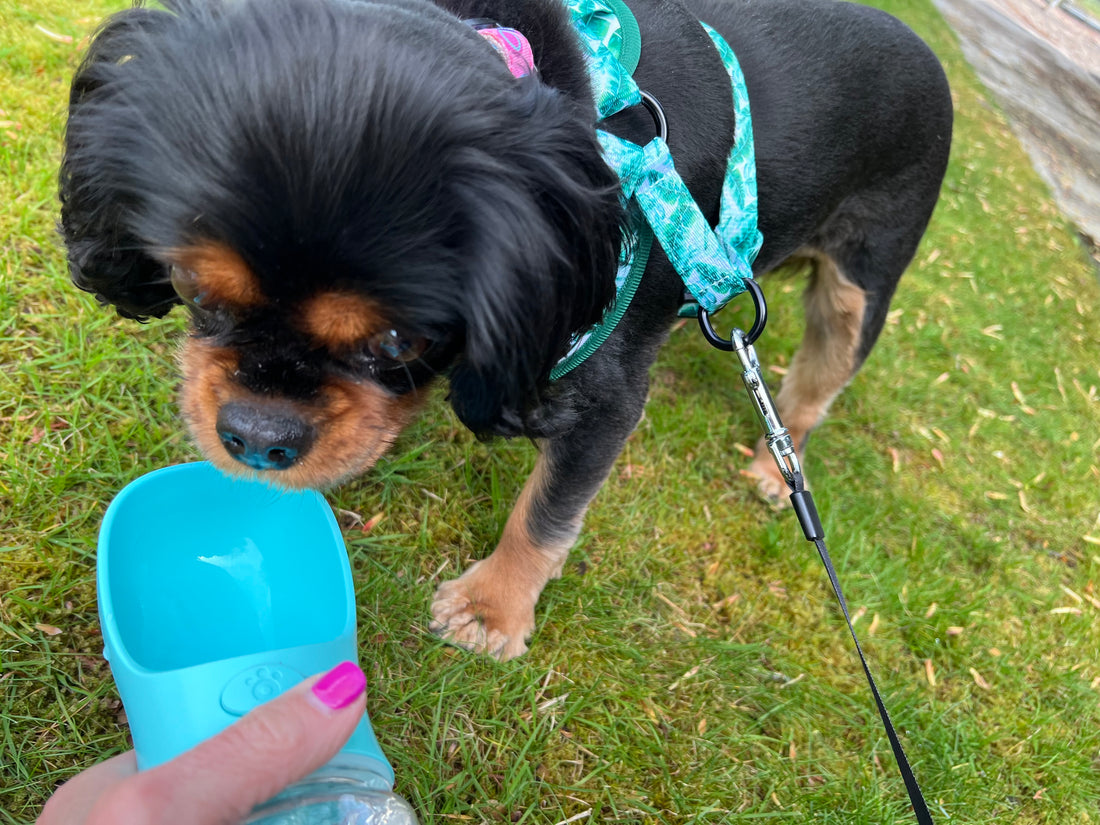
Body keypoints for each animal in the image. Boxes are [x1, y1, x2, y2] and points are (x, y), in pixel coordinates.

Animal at [62, 0, 954, 664]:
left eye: (398, 342)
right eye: (191, 289)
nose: (254, 435)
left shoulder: (602, 398)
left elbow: (547, 512)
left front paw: (492, 611)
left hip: (862, 286)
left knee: (812, 387)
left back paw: (780, 467)